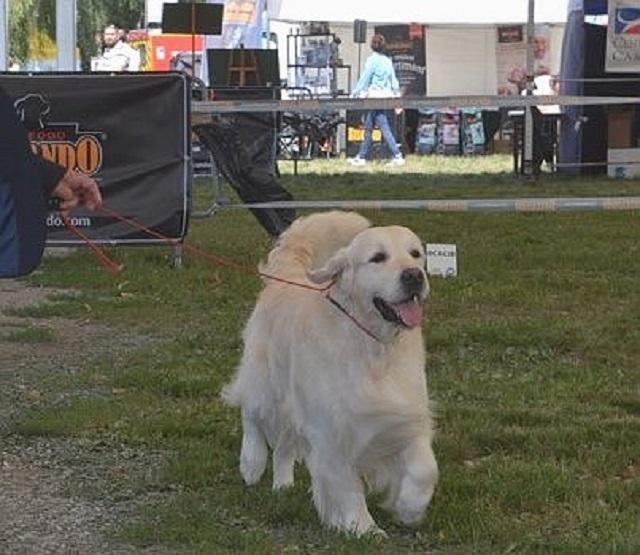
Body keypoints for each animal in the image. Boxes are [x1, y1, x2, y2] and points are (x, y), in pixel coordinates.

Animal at [222, 211, 438, 536]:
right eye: (378, 258)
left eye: (416, 254)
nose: (414, 276)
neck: (374, 347)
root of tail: (289, 274)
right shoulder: (333, 429)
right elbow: (347, 486)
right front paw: (363, 528)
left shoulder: (403, 414)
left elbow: (426, 468)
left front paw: (409, 508)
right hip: (267, 381)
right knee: (251, 412)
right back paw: (251, 464)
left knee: (284, 445)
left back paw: (282, 484)